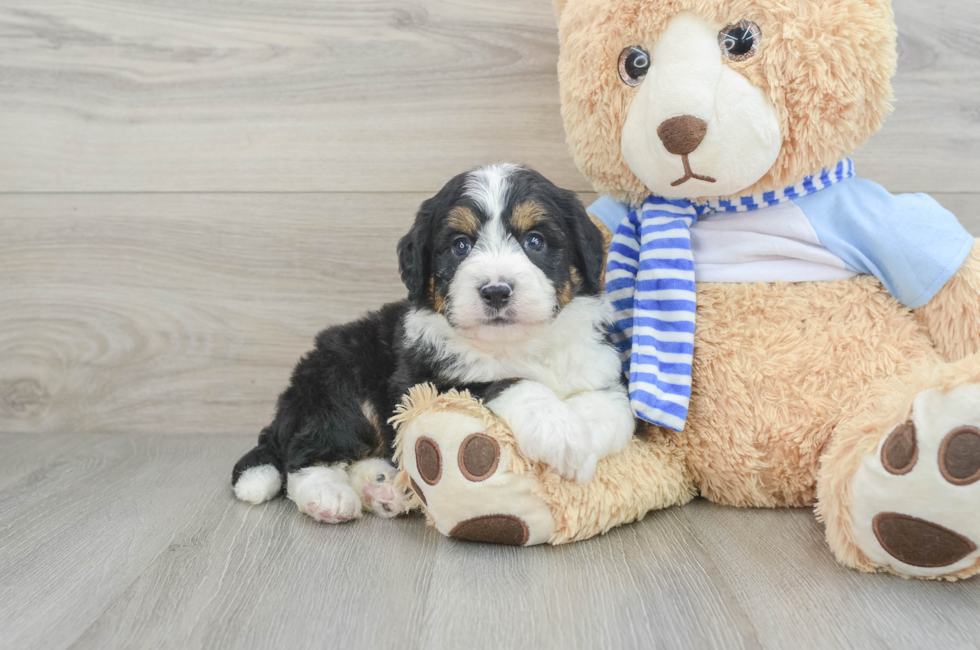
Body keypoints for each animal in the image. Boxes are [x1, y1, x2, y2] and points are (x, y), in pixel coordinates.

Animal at [234, 165, 640, 524]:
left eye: (535, 241)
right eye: (461, 245)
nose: (496, 291)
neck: (519, 345)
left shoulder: (602, 370)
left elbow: (612, 409)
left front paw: (581, 443)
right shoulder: (423, 383)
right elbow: (508, 383)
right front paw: (558, 430)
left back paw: (384, 489)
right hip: (339, 385)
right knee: (303, 454)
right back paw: (328, 497)